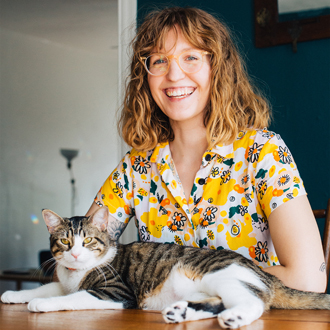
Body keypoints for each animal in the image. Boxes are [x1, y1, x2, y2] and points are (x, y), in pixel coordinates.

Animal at [0, 206, 330, 328]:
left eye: (89, 241)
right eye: (66, 242)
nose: (77, 255)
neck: (76, 274)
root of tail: (265, 275)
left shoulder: (116, 292)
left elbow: (73, 297)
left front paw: (42, 304)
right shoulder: (64, 280)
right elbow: (48, 286)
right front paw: (14, 296)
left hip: (222, 275)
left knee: (254, 303)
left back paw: (234, 317)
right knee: (217, 302)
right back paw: (180, 312)